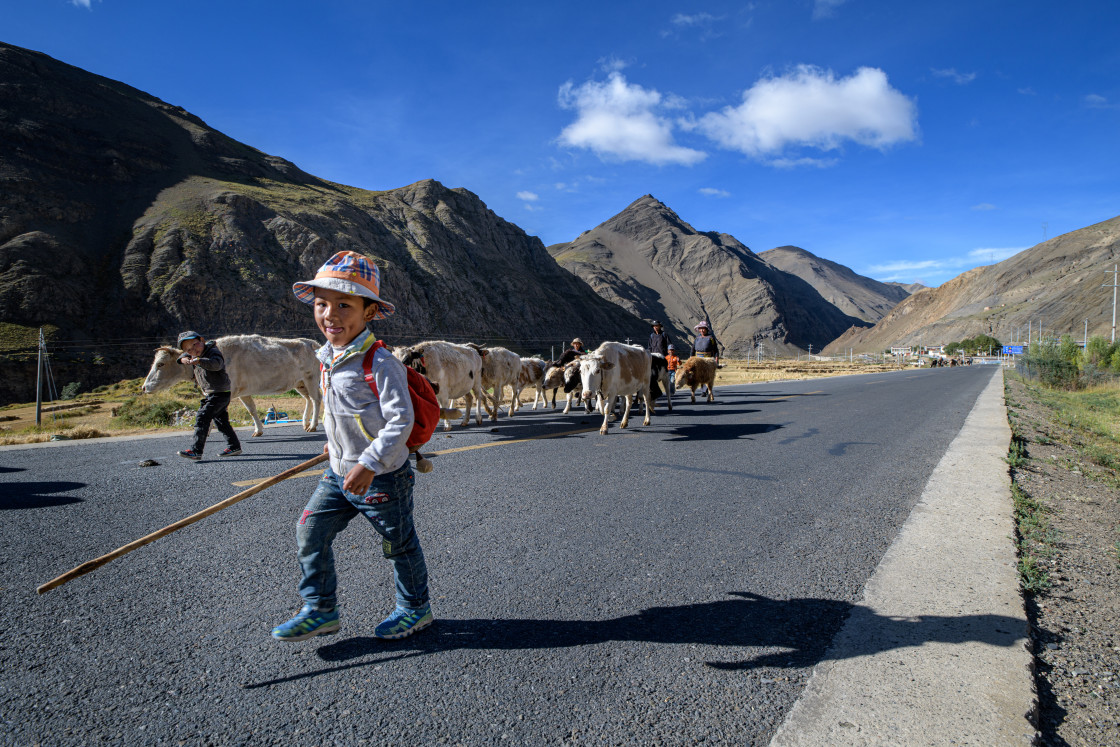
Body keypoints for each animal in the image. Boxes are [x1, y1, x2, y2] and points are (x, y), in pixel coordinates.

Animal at [142, 333, 322, 439]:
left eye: (160, 364)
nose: (144, 387)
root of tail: (312, 343)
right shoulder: (243, 392)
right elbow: (252, 409)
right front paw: (258, 430)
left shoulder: (226, 391)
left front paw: (207, 432)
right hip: (299, 382)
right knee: (308, 399)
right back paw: (305, 423)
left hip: (311, 378)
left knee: (316, 399)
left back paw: (312, 426)